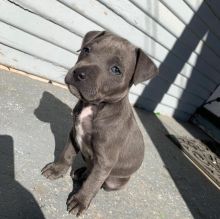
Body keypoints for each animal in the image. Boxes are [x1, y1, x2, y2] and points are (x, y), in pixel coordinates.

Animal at [41, 30, 158, 216]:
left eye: (116, 70)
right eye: (87, 49)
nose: (79, 73)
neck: (94, 107)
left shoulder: (105, 161)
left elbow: (93, 182)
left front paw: (80, 201)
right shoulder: (74, 134)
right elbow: (66, 154)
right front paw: (56, 169)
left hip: (114, 180)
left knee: (101, 181)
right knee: (89, 168)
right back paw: (81, 172)